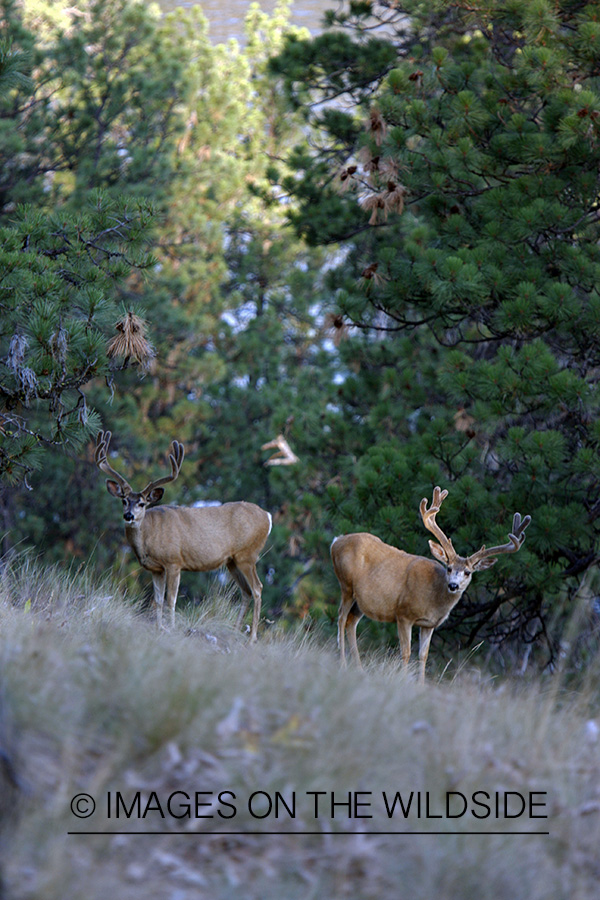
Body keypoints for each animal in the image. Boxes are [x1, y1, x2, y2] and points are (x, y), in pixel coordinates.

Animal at [95, 431, 272, 637]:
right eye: (124, 500)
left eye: (142, 503)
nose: (128, 515)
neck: (149, 534)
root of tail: (267, 517)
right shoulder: (156, 568)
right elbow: (158, 601)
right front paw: (159, 628)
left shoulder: (174, 561)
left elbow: (171, 599)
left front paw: (170, 628)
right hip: (232, 561)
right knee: (246, 591)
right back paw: (235, 632)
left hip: (248, 554)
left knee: (257, 588)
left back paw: (252, 638)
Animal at [331, 487, 531, 682]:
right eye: (449, 568)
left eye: (468, 572)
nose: (453, 586)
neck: (433, 598)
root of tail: (336, 541)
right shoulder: (403, 613)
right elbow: (406, 653)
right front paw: (403, 681)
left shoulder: (429, 624)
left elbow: (423, 655)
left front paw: (420, 685)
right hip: (346, 584)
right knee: (341, 617)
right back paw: (342, 663)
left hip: (361, 601)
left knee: (351, 622)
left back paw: (358, 669)